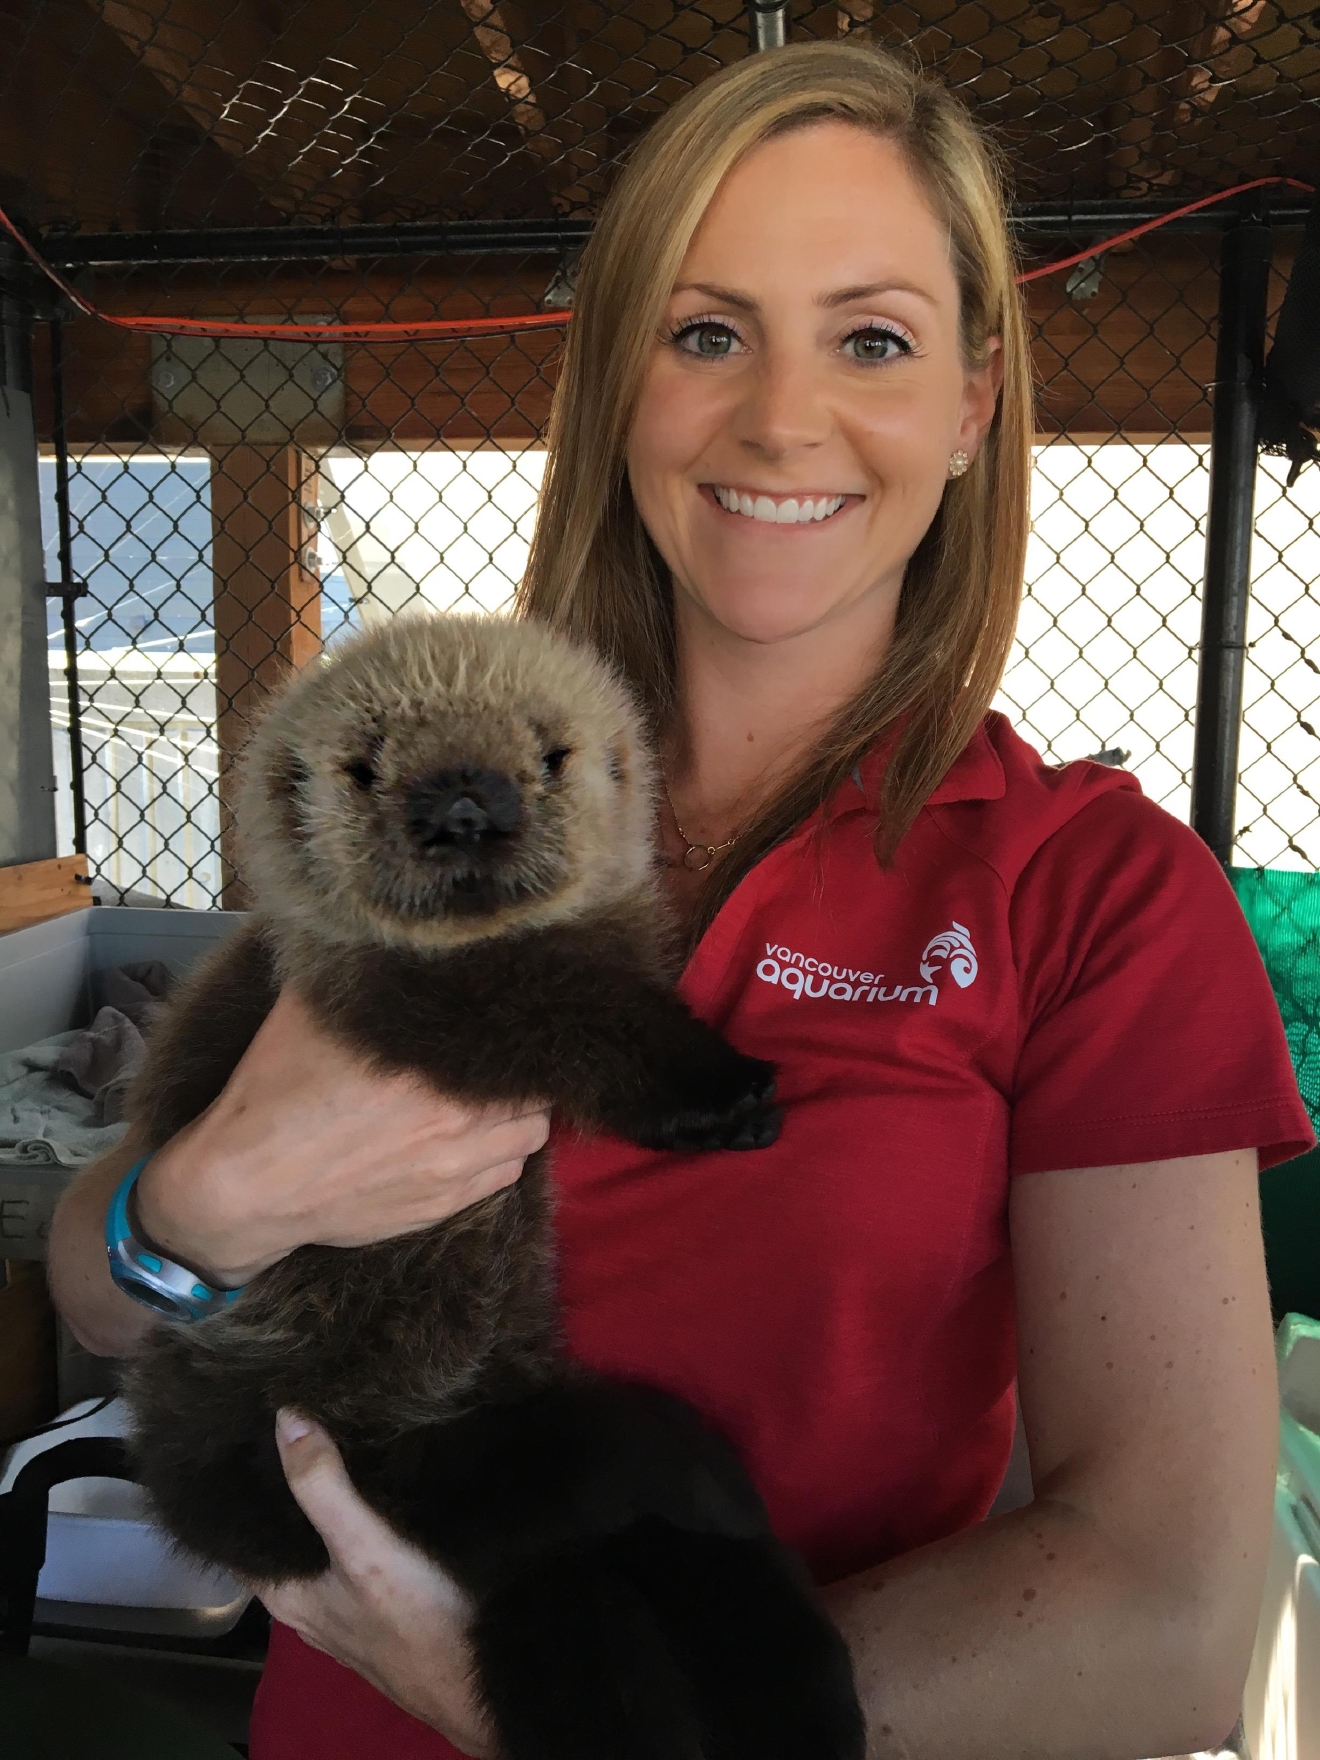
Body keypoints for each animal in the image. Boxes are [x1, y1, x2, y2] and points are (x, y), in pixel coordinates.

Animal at [122, 613, 866, 1760]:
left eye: (551, 755)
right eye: (365, 765)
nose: (463, 808)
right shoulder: (411, 995)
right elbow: (566, 1013)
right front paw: (720, 1089)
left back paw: (802, 1684)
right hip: (359, 1450)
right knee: (573, 1506)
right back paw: (698, 1495)